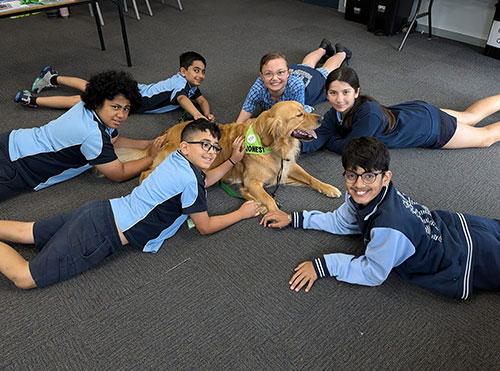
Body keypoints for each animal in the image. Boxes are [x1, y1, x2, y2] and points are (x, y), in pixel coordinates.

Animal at [119, 100, 342, 214]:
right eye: (299, 115)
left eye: (305, 110)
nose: (322, 117)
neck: (271, 146)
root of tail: (167, 131)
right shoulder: (251, 181)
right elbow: (269, 200)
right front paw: (270, 211)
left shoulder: (286, 167)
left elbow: (311, 178)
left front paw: (329, 188)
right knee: (145, 173)